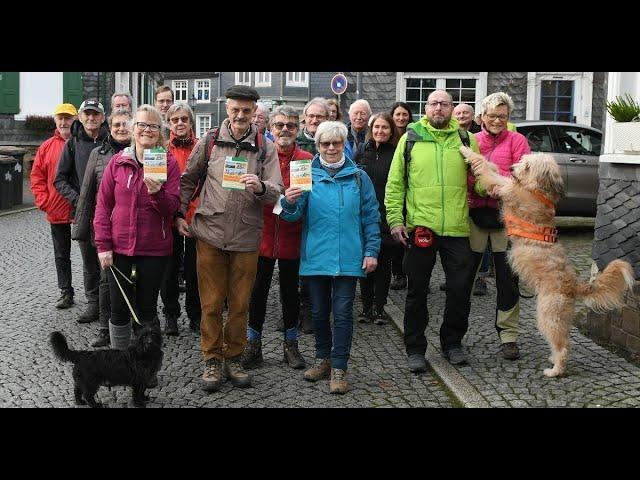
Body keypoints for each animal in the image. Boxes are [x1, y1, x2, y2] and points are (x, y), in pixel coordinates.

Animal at [460, 144, 636, 376]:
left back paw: (555, 370)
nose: (512, 168)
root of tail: (574, 286)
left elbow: (485, 166)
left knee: (564, 346)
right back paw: (553, 360)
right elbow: (491, 166)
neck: (537, 190)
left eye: (526, 165)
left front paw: (465, 150)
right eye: (522, 161)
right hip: (559, 318)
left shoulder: (506, 187)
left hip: (548, 315)